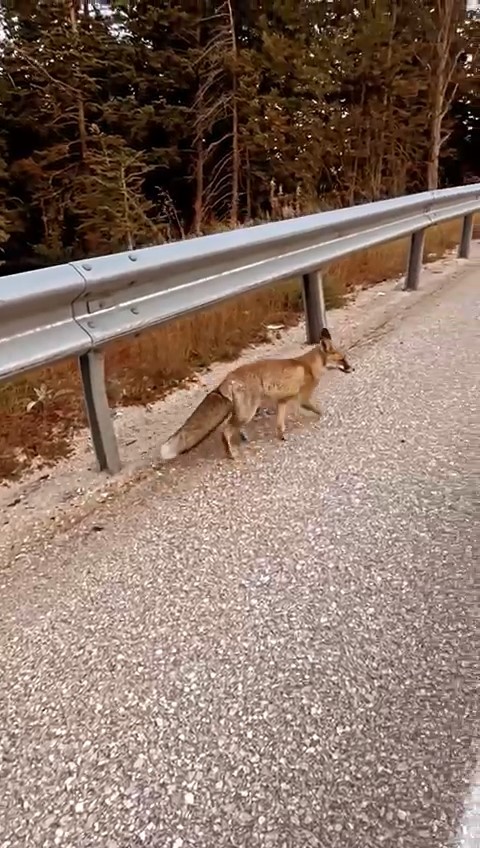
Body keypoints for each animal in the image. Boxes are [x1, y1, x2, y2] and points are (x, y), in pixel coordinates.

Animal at [160, 326, 352, 464]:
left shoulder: (283, 401)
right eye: (342, 360)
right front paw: (327, 416)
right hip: (248, 411)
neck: (309, 366)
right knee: (225, 430)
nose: (353, 369)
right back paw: (231, 454)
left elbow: (280, 424)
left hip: (245, 411)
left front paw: (281, 436)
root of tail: (228, 378)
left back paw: (243, 437)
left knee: (233, 426)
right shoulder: (303, 398)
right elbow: (319, 409)